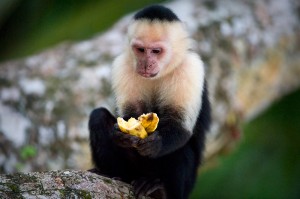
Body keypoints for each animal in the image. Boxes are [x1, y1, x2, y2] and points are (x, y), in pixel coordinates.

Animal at [89, 4, 211, 199]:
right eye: (140, 50)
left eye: (156, 51)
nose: (146, 64)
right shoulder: (122, 65)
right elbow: (129, 114)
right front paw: (121, 134)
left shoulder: (190, 68)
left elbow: (180, 127)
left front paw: (156, 144)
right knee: (98, 116)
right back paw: (113, 175)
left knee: (181, 149)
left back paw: (161, 190)